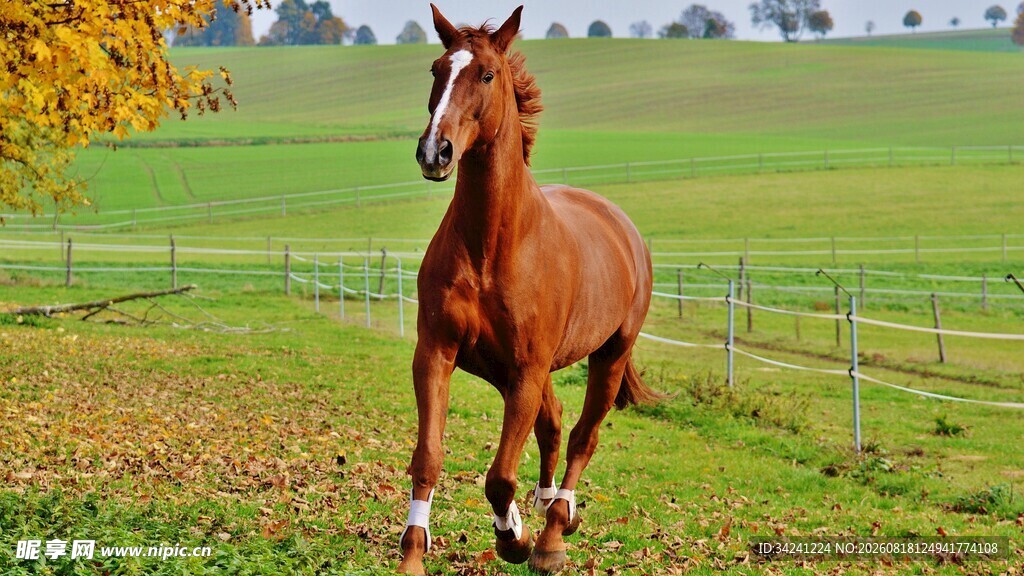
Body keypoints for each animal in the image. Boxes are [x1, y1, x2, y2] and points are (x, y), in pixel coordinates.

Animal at [397, 5, 660, 574]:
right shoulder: (438, 353)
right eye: (436, 69)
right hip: (514, 372)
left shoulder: (526, 370)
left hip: (607, 357)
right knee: (554, 425)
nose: (435, 152)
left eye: (487, 75)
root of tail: (623, 227)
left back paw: (555, 529)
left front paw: (513, 539)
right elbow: (428, 457)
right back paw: (545, 508)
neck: (492, 247)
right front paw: (413, 554)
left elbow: (499, 477)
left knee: (583, 436)